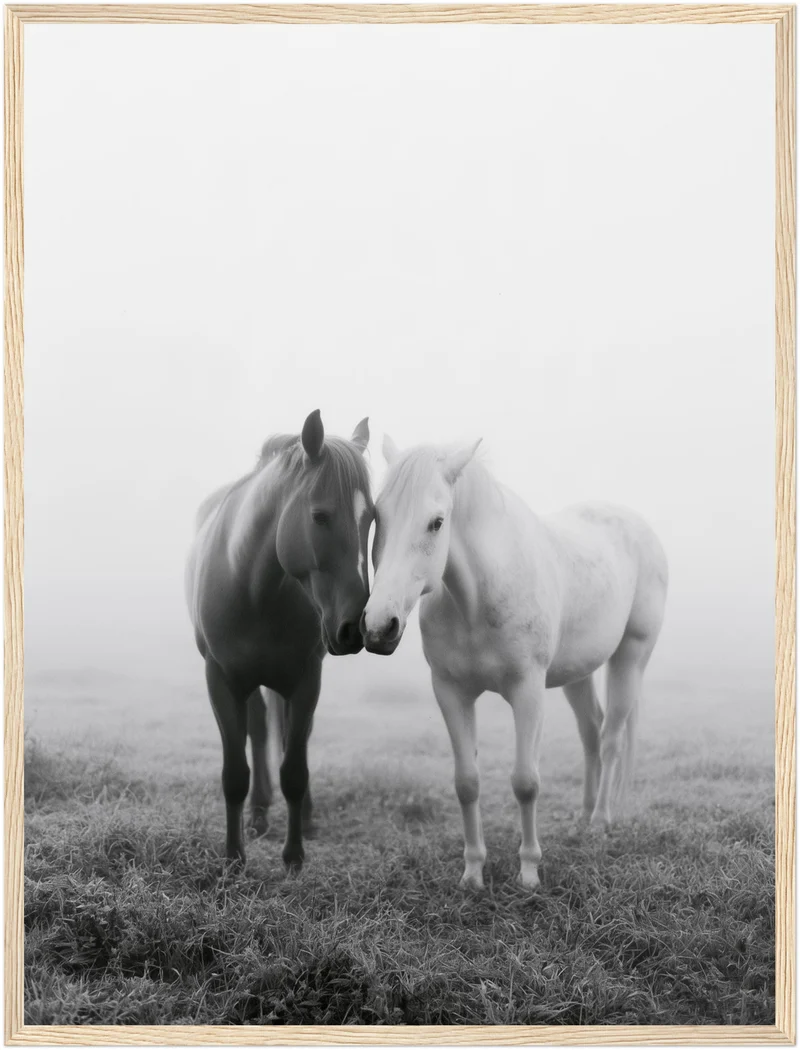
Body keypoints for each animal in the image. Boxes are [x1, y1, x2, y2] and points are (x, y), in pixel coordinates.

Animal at [186, 410, 373, 869]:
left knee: (289, 737)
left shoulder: (305, 680)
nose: (354, 628)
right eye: (320, 516)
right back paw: (257, 812)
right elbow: (235, 772)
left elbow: (294, 768)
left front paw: (293, 855)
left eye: (372, 518)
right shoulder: (221, 681)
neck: (253, 585)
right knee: (258, 731)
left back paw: (302, 817)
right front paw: (234, 855)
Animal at [362, 437, 668, 891]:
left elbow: (525, 782)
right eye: (377, 516)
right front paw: (473, 872)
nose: (379, 627)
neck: (477, 602)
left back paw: (600, 819)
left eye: (436, 522)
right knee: (591, 733)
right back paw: (583, 815)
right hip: (578, 673)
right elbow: (466, 783)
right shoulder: (450, 692)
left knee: (611, 737)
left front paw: (528, 872)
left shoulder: (527, 691)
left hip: (629, 657)